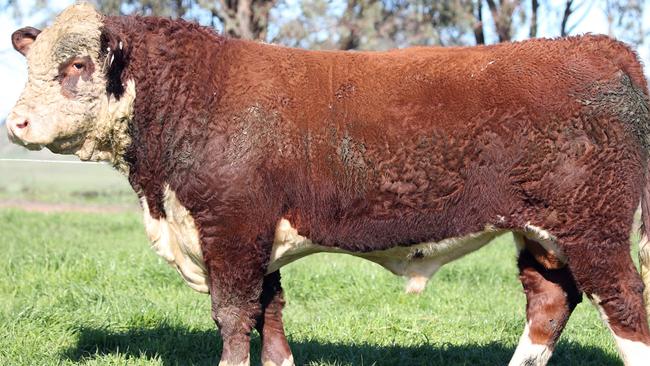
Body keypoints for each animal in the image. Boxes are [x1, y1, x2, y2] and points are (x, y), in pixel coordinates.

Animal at [7, 3, 648, 366]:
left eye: (77, 66)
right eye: (33, 64)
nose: (16, 123)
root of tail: (601, 47)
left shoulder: (231, 229)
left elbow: (234, 316)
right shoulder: (257, 238)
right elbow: (271, 316)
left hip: (595, 228)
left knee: (624, 305)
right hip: (542, 232)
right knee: (549, 302)